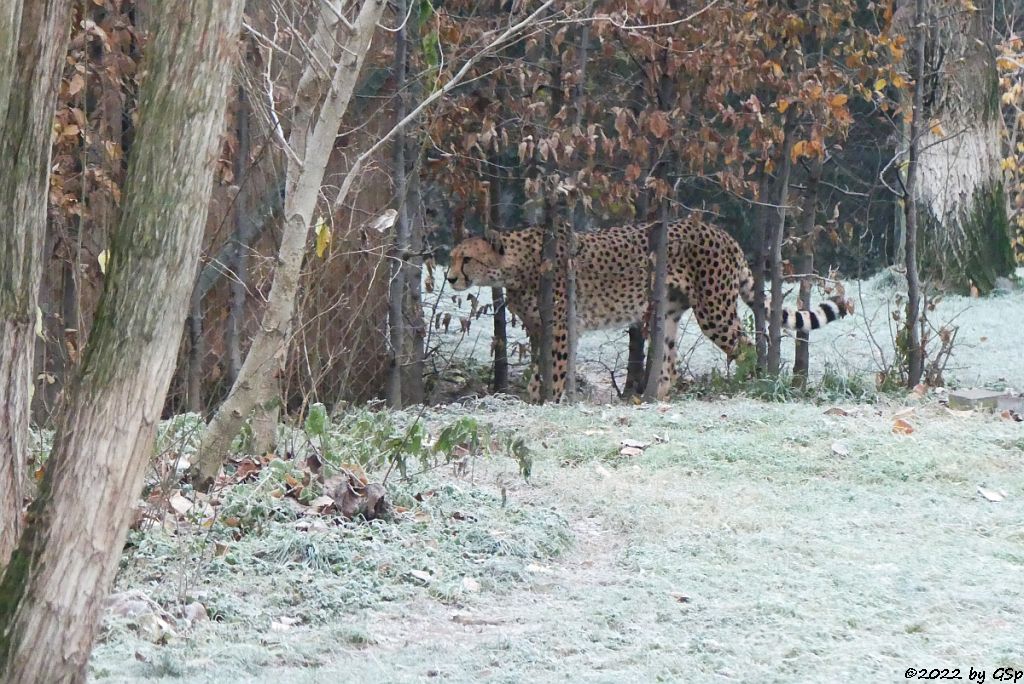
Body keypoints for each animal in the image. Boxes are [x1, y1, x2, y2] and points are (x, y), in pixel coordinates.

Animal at [448, 215, 847, 401]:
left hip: (714, 310)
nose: (450, 278)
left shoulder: (560, 326)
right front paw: (537, 399)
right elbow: (539, 367)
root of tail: (720, 232)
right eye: (451, 257)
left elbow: (554, 369)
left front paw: (548, 401)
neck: (516, 264)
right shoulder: (540, 329)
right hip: (668, 312)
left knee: (746, 346)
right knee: (669, 362)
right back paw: (652, 399)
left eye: (466, 258)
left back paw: (750, 386)